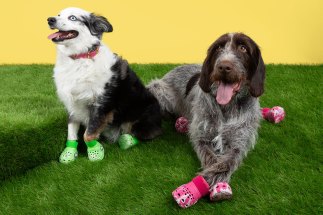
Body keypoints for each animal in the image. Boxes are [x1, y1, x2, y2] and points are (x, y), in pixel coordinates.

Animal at [47, 7, 162, 163]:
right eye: (58, 14)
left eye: (72, 18)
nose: (50, 20)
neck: (80, 58)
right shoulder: (72, 104)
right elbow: (71, 130)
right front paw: (69, 153)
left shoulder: (101, 104)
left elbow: (88, 134)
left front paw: (95, 152)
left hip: (142, 114)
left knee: (145, 133)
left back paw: (127, 140)